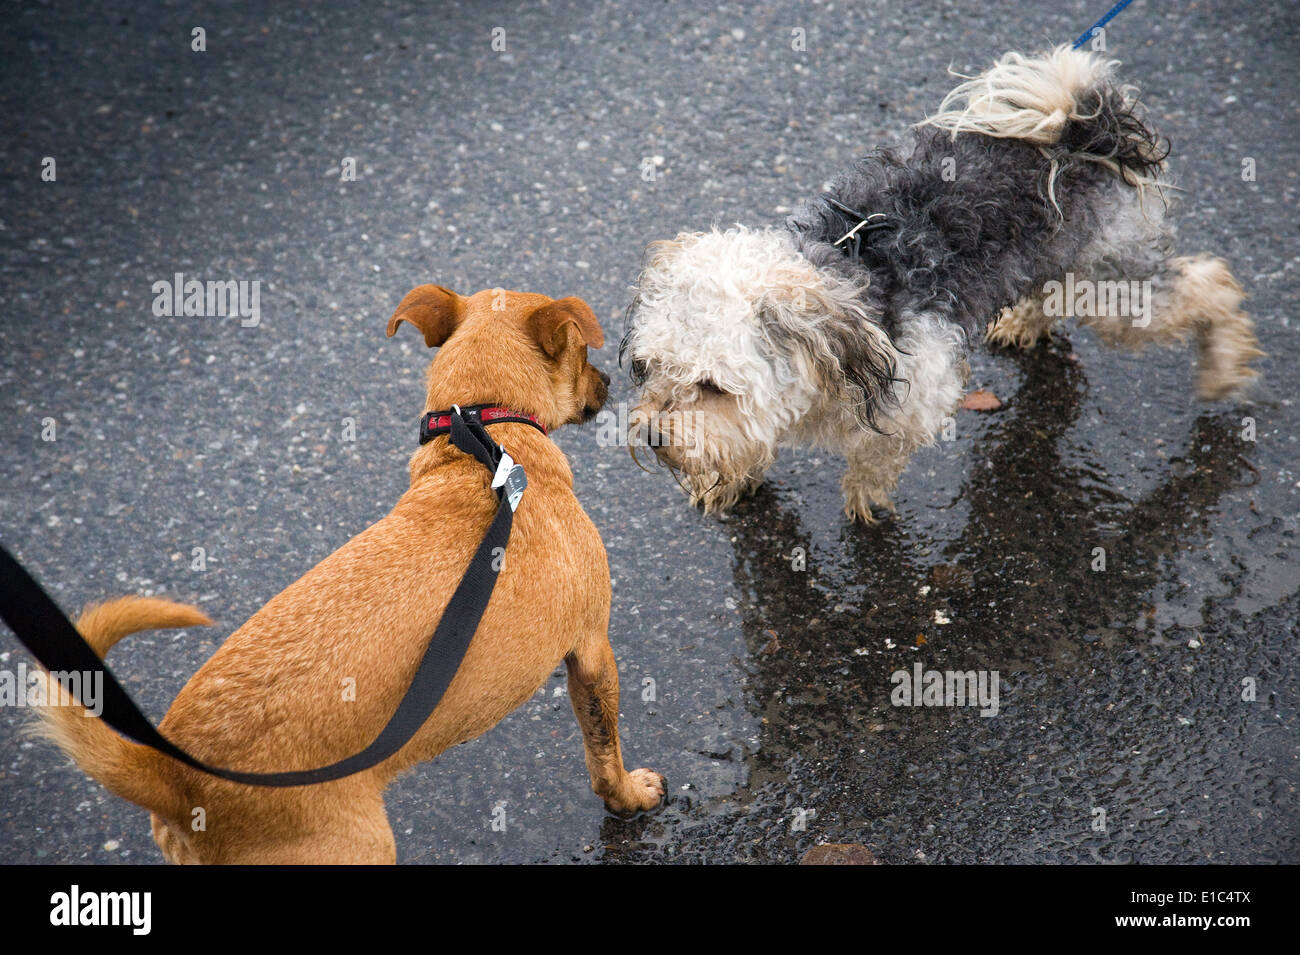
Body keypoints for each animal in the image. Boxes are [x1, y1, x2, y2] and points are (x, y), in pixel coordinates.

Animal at [32, 285, 660, 867]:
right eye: (582, 350)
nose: (611, 381)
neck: (484, 435)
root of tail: (172, 777)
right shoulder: (592, 652)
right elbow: (604, 748)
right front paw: (629, 798)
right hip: (359, 847)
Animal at [624, 47, 1263, 519]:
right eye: (650, 368)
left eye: (713, 386)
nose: (653, 436)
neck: (846, 271)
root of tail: (1089, 128)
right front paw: (728, 479)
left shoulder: (918, 394)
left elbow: (877, 455)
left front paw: (864, 501)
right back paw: (1025, 321)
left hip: (1116, 292)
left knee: (1210, 284)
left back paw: (1223, 366)